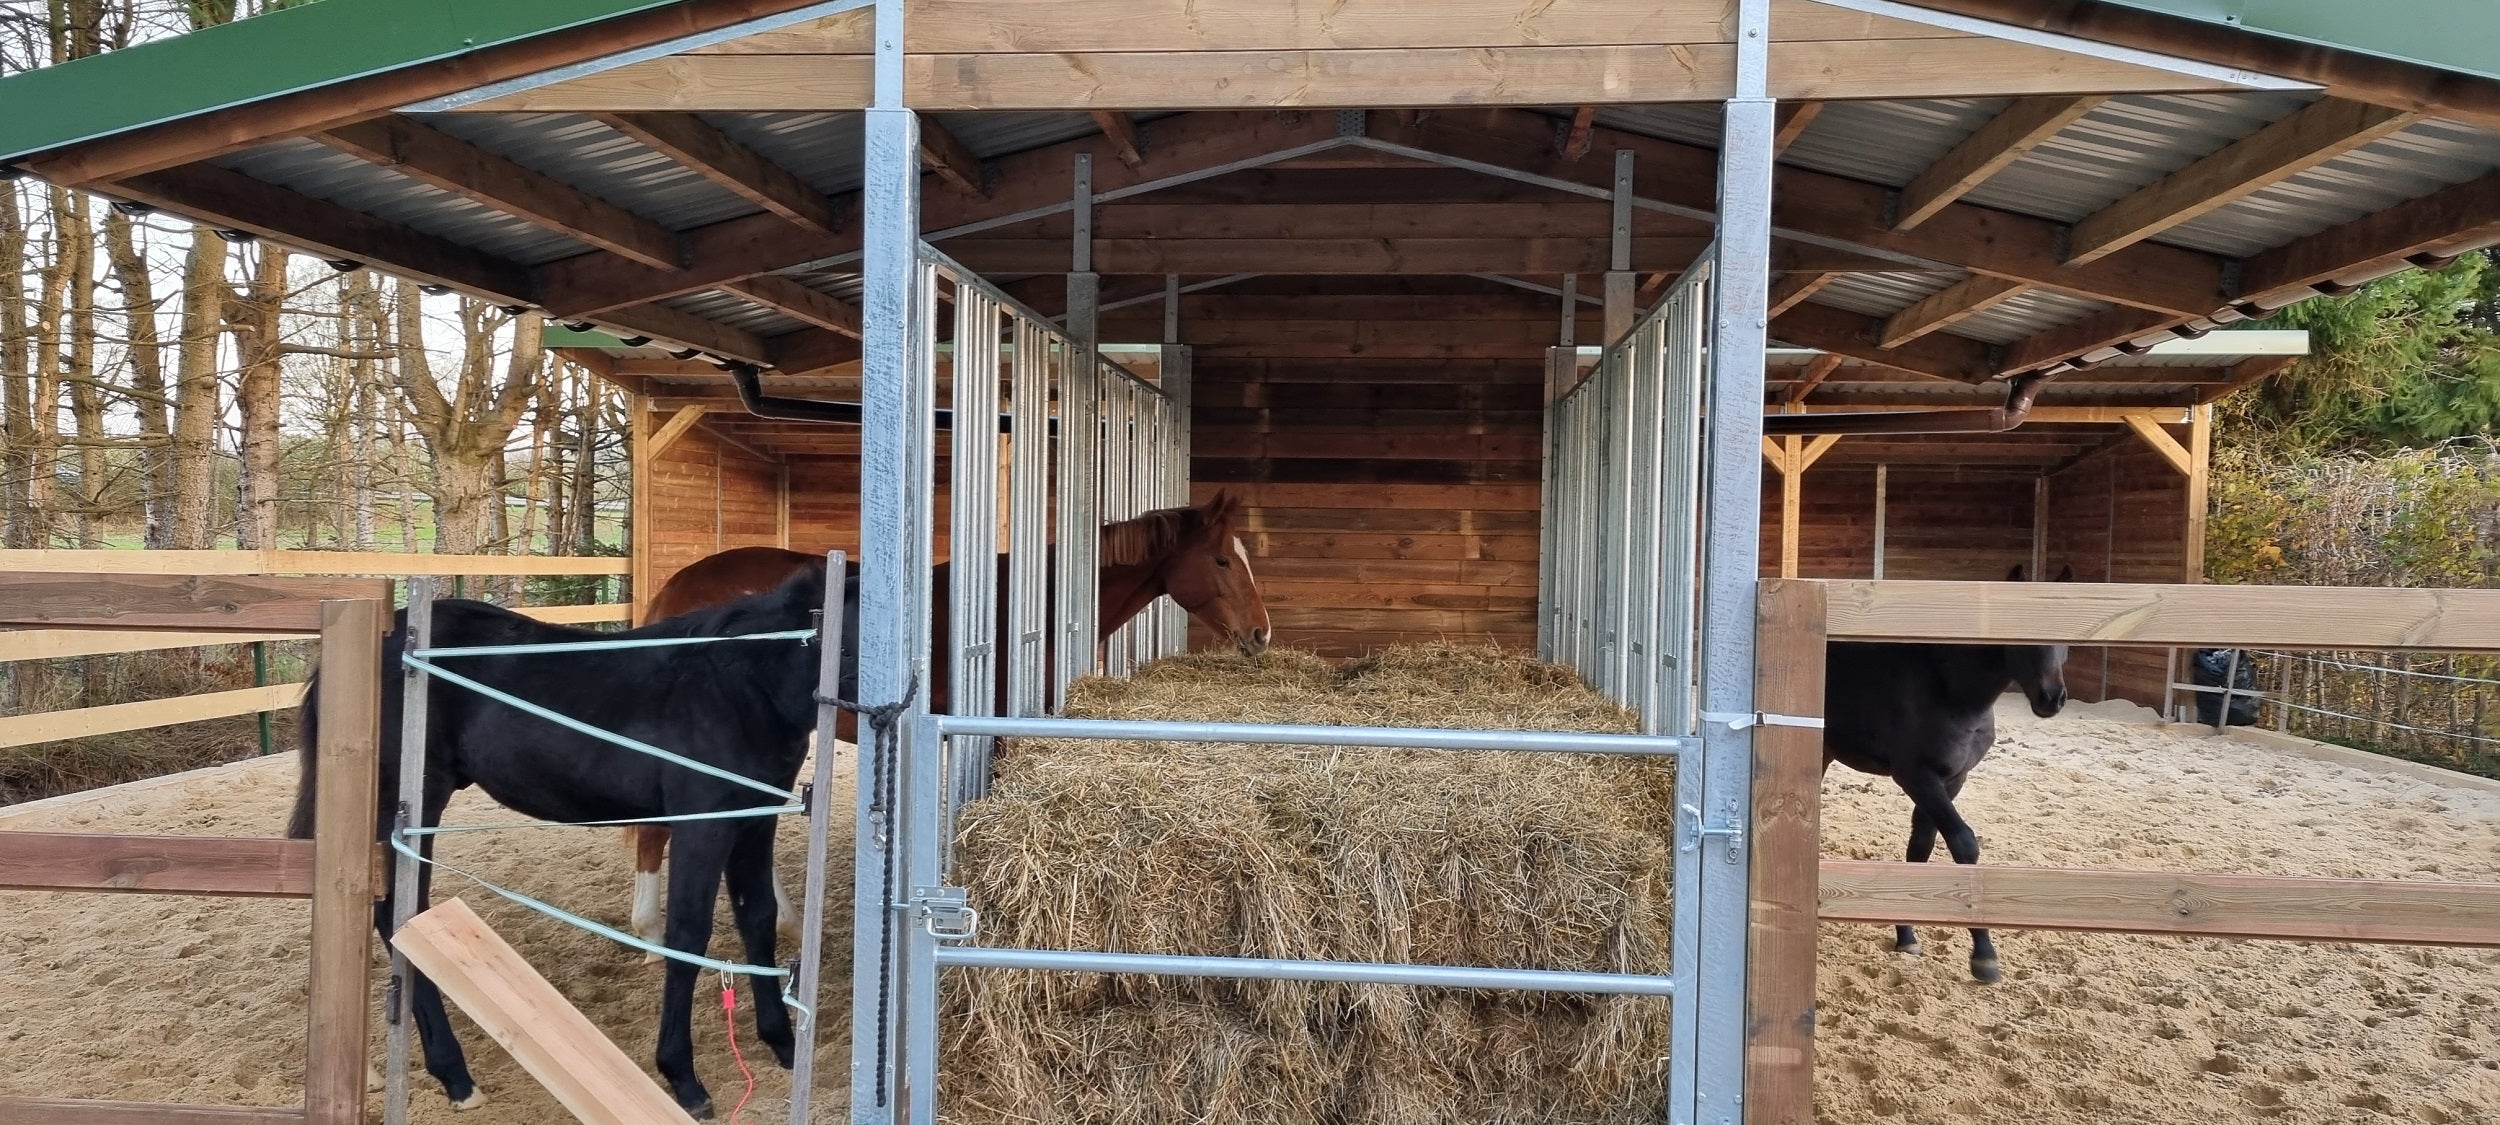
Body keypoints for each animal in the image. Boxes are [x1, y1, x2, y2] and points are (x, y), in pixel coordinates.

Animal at [287, 564, 852, 1118]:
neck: (735, 687)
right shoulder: (702, 826)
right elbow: (689, 935)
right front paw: (683, 1078)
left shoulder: (753, 823)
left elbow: (757, 919)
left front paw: (782, 1043)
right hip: (408, 808)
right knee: (396, 916)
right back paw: (453, 1075)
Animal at [1821, 563, 2073, 984]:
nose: (2051, 699)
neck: (1949, 690)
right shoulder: (1916, 777)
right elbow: (1964, 843)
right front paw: (1984, 957)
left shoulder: (1953, 780)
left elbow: (1920, 849)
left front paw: (1906, 937)